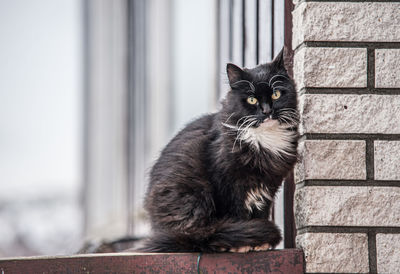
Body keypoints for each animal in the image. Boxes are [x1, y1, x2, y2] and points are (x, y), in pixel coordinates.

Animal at [140, 48, 296, 253]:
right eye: (252, 99)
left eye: (276, 94)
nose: (267, 111)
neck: (263, 140)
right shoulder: (226, 182)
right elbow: (236, 212)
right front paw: (245, 244)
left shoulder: (268, 184)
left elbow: (260, 212)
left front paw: (260, 244)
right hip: (193, 193)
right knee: (200, 235)